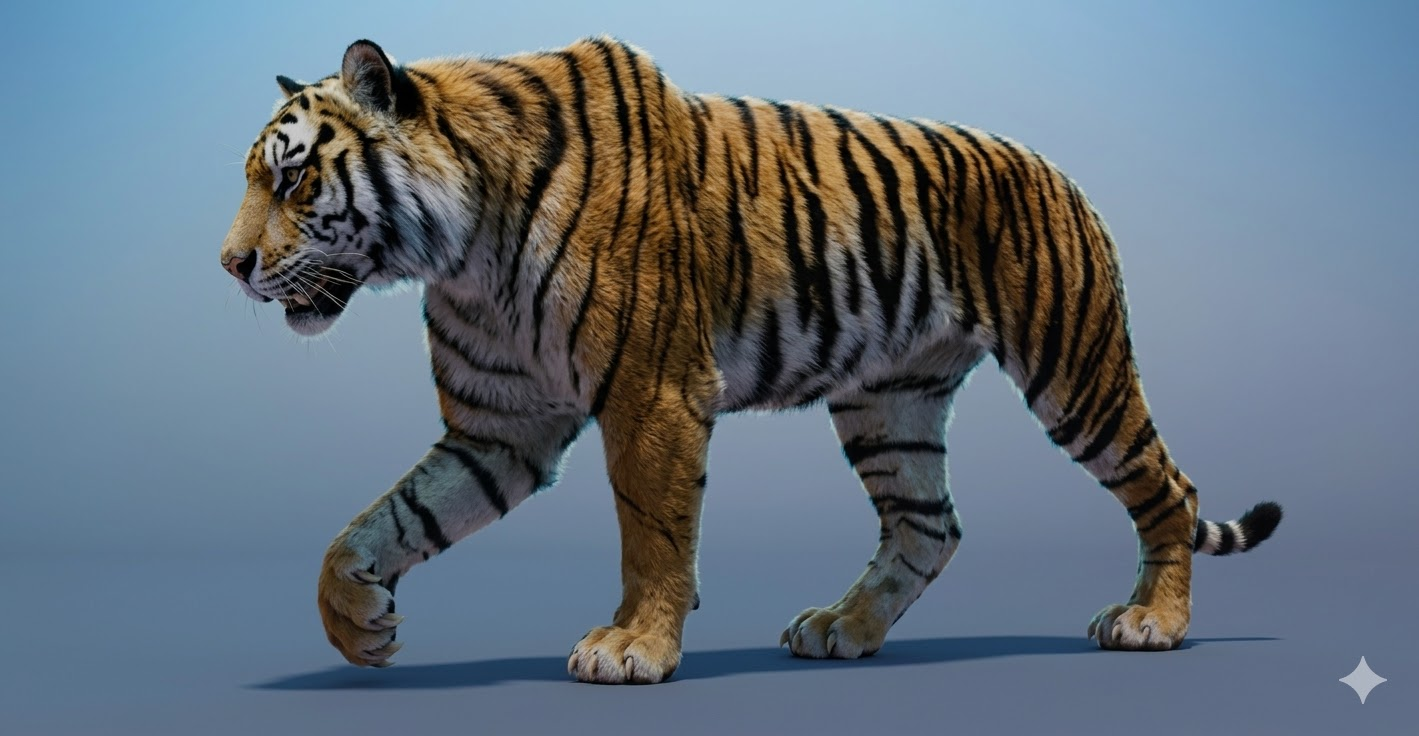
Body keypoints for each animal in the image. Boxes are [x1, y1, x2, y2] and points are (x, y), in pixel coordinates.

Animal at [219, 38, 1283, 684]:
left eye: (293, 178)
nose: (229, 266)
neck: (460, 248)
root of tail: (1057, 170)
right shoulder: (497, 428)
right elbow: (379, 523)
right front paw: (358, 624)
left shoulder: (651, 391)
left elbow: (651, 532)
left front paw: (634, 647)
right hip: (888, 403)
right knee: (928, 525)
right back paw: (842, 631)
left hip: (1074, 365)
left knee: (1165, 487)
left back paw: (1152, 622)